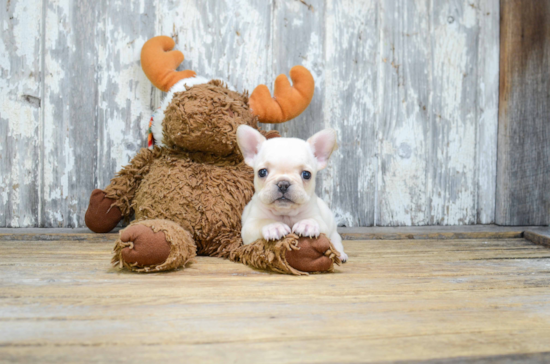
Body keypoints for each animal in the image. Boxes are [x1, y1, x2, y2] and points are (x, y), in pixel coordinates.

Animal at [237, 125, 350, 262]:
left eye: (306, 174)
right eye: (262, 172)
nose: (283, 183)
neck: (286, 213)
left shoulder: (320, 221)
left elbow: (314, 220)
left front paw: (307, 224)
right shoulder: (249, 227)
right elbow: (263, 221)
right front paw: (274, 226)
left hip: (333, 232)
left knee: (336, 241)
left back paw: (340, 255)